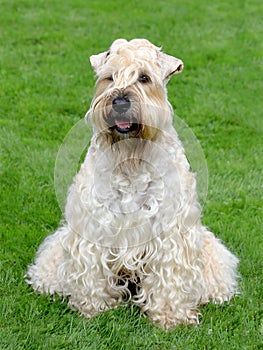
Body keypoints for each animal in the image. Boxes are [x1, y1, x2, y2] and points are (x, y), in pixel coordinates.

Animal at [26, 38, 239, 328]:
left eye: (144, 78)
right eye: (109, 77)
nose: (119, 101)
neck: (131, 159)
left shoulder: (172, 234)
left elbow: (170, 278)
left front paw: (170, 318)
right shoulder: (93, 227)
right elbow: (92, 273)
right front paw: (95, 309)